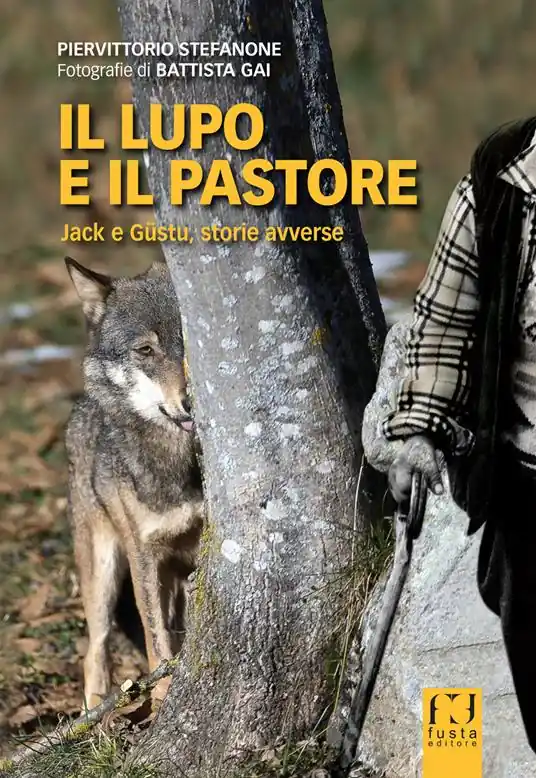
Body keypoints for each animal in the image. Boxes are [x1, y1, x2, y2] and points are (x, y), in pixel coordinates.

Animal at [64, 256, 205, 710]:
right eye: (146, 350)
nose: (191, 402)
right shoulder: (145, 555)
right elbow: (155, 639)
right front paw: (162, 700)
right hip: (102, 570)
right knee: (95, 648)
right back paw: (95, 712)